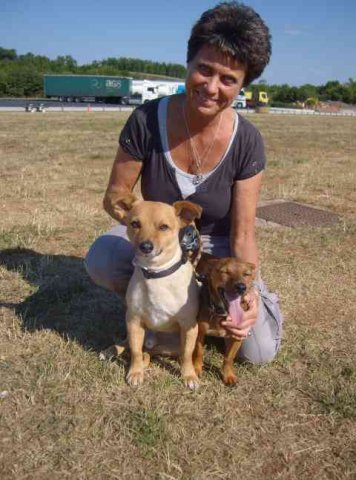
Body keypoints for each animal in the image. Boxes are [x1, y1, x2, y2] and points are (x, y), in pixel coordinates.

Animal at [192, 253, 256, 384]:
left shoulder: (238, 336)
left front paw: (228, 375)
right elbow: (199, 351)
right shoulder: (200, 331)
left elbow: (229, 357)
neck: (222, 312)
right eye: (225, 272)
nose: (241, 287)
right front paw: (197, 368)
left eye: (246, 274)